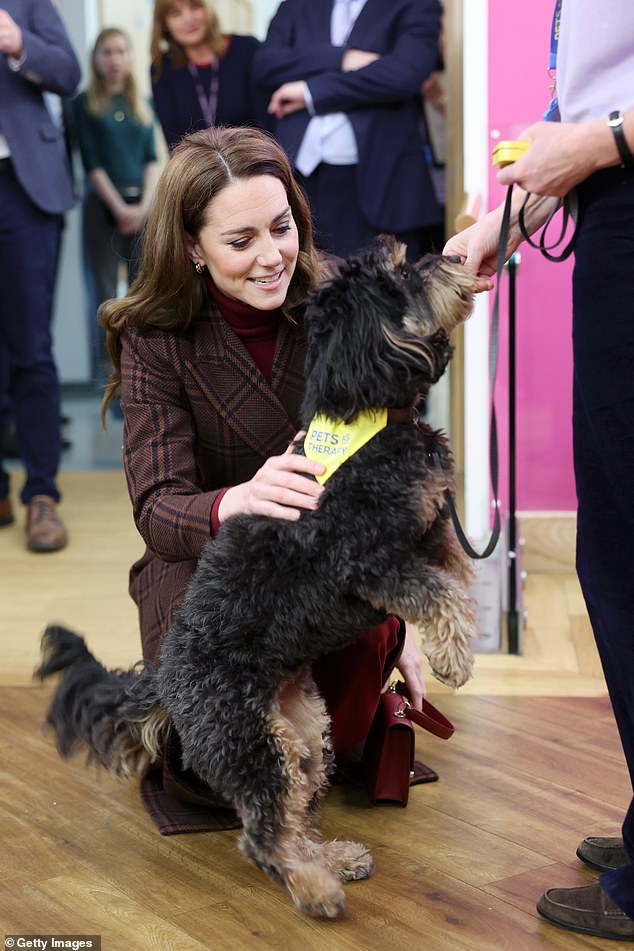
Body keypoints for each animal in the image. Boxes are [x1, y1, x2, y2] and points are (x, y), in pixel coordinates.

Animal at [37, 234, 476, 920]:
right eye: (403, 272)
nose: (453, 258)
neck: (365, 417)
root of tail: (165, 679)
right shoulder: (364, 559)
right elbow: (436, 589)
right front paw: (454, 656)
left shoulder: (429, 525)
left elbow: (455, 572)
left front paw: (448, 647)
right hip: (248, 741)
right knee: (262, 834)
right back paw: (314, 888)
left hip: (303, 734)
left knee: (295, 811)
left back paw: (330, 858)